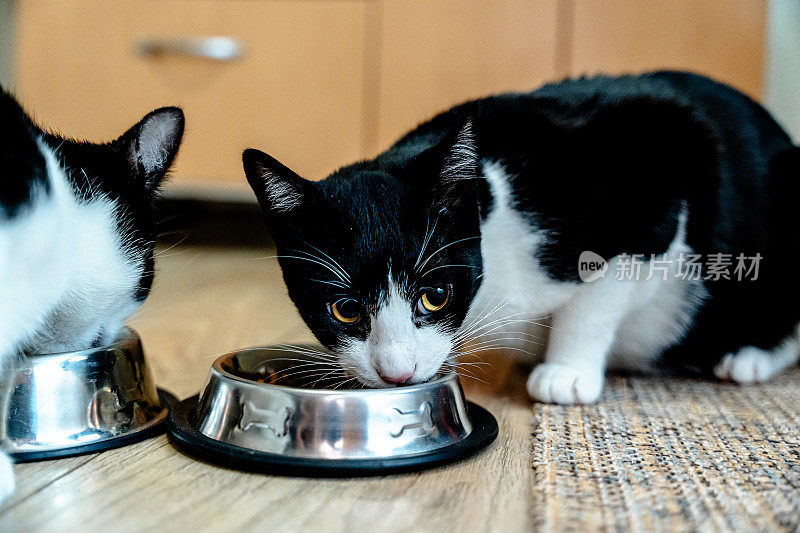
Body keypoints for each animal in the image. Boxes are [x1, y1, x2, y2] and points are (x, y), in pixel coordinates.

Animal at [242, 70, 800, 404]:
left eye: (435, 295)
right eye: (344, 310)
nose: (396, 374)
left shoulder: (662, 157)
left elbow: (599, 292)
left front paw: (566, 371)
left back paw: (749, 358)